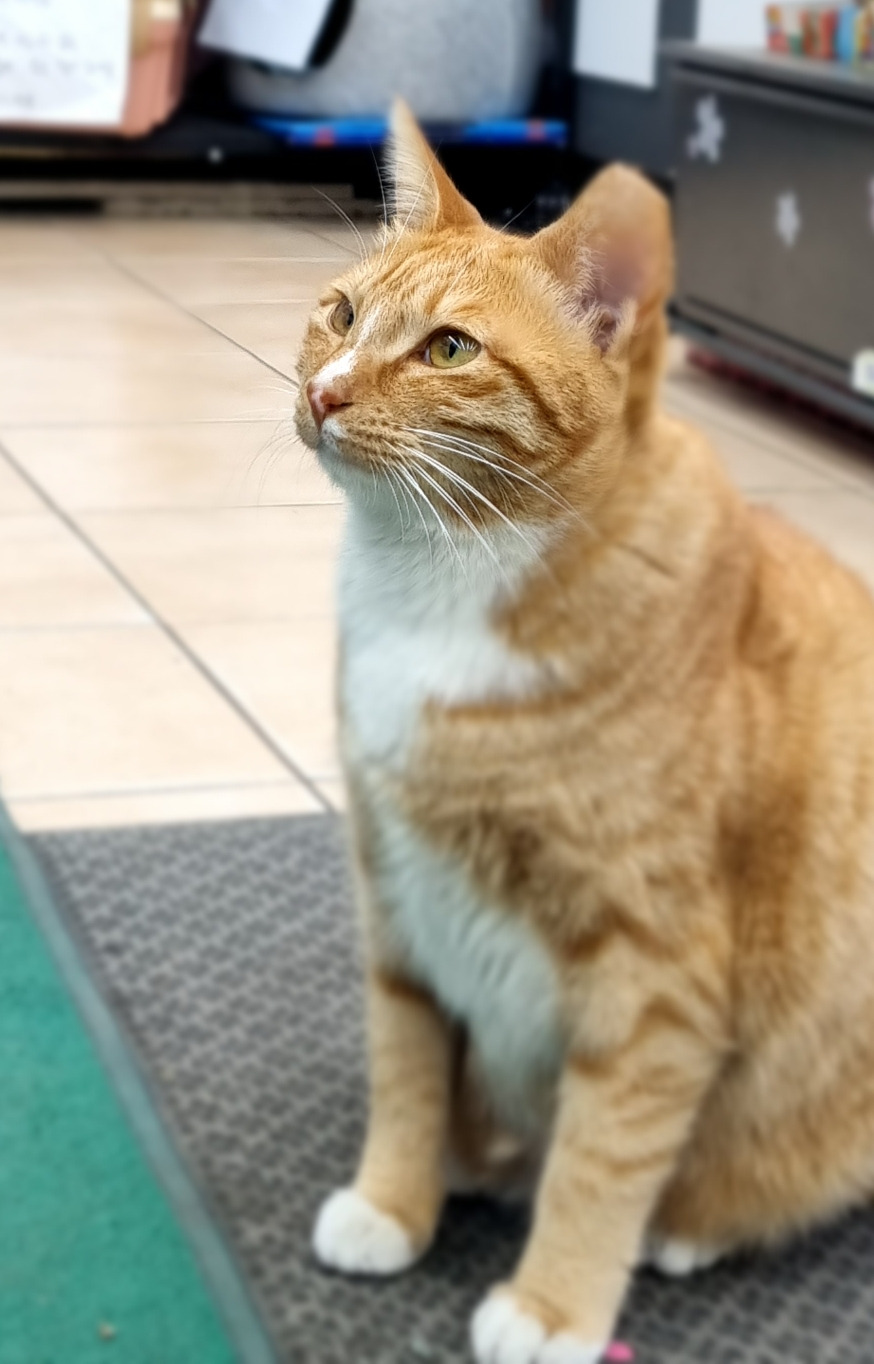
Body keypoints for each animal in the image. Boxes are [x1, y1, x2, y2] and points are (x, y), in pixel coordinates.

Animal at [294, 100, 874, 1364]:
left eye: (448, 350)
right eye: (344, 313)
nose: (324, 391)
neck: (437, 585)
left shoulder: (652, 976)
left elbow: (602, 1157)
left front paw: (554, 1303)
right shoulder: (394, 895)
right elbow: (406, 1070)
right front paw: (397, 1199)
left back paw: (689, 1227)